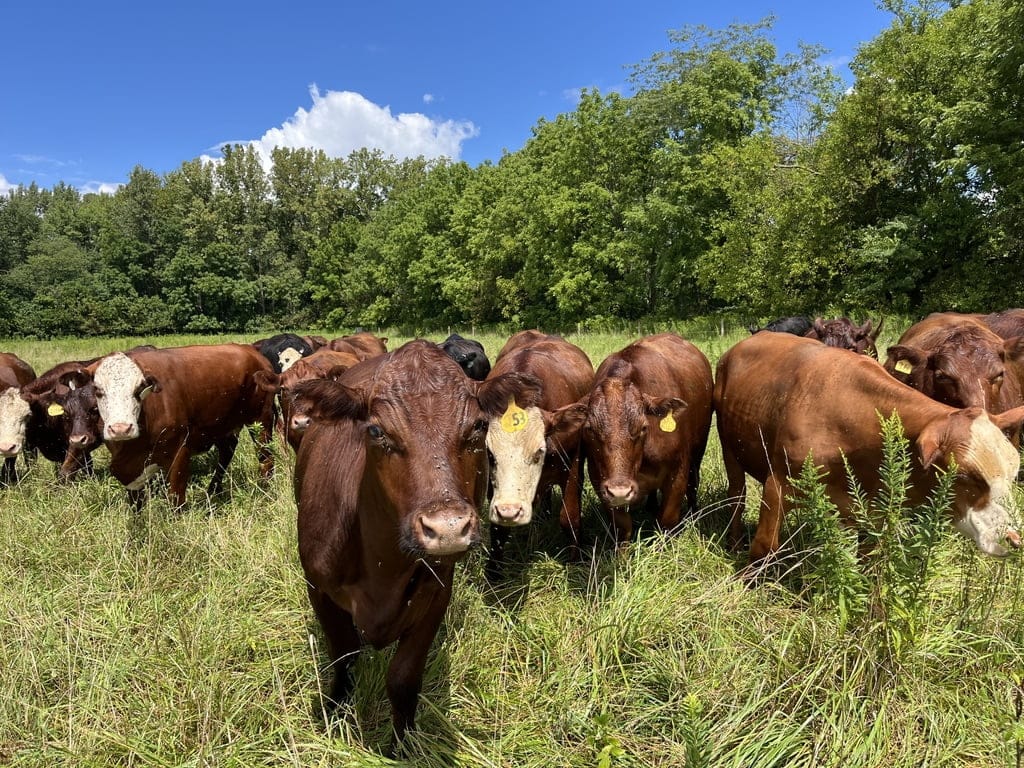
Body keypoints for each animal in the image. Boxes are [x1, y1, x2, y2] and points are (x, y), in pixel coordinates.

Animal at [85, 343, 277, 509]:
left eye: (139, 389)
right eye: (98, 390)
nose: (121, 428)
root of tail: (249, 348)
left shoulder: (180, 449)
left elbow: (176, 498)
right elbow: (136, 504)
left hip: (261, 420)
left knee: (265, 457)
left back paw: (264, 490)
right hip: (223, 424)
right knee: (227, 451)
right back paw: (213, 491)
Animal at [291, 339, 541, 745]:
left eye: (478, 426)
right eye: (376, 431)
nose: (448, 527)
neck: (381, 565)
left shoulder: (437, 593)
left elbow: (404, 678)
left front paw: (402, 744)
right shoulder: (319, 589)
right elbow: (344, 658)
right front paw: (336, 718)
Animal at [483, 331, 593, 578]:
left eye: (538, 452)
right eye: (491, 455)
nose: (510, 511)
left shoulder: (573, 467)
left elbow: (569, 517)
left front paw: (576, 562)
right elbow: (497, 528)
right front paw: (494, 573)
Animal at [581, 333, 714, 546]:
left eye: (643, 427)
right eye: (590, 429)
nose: (620, 491)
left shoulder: (678, 473)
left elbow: (667, 522)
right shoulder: (600, 481)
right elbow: (623, 528)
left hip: (699, 449)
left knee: (693, 484)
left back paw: (694, 514)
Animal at [715, 332, 1024, 569]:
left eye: (1012, 475)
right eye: (964, 477)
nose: (1013, 538)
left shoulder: (873, 508)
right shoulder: (777, 483)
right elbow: (763, 548)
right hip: (728, 446)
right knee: (736, 495)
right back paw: (734, 541)